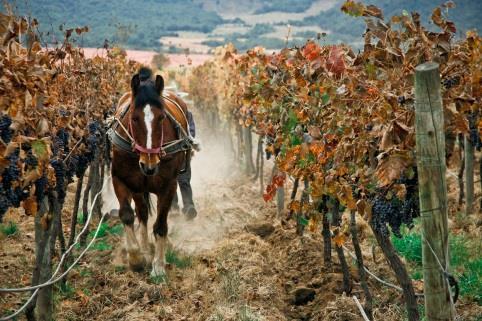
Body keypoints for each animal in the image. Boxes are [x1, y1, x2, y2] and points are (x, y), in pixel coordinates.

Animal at [108, 67, 193, 276]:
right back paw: (145, 248)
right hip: (138, 187)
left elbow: (161, 225)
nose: (149, 165)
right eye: (134, 118)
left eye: (161, 117)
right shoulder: (120, 180)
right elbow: (127, 215)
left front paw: (158, 266)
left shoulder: (168, 186)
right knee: (143, 213)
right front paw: (137, 259)